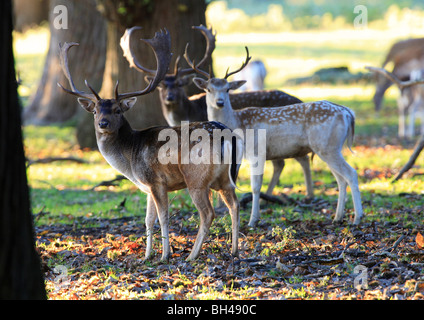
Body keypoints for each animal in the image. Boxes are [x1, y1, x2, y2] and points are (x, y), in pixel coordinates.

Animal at [56, 30, 242, 262]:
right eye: (96, 111)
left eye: (118, 110)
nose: (103, 124)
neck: (130, 159)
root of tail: (226, 134)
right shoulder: (146, 187)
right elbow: (147, 220)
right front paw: (146, 256)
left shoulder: (156, 181)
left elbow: (163, 217)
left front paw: (164, 255)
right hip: (226, 177)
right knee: (235, 204)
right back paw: (234, 250)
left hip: (196, 178)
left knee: (208, 213)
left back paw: (192, 255)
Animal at [121, 25, 314, 200]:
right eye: (162, 87)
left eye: (179, 85)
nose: (170, 97)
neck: (187, 114)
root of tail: (299, 99)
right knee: (282, 162)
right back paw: (271, 194)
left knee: (300, 159)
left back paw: (304, 194)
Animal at [186, 46, 364, 226]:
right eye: (208, 89)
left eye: (228, 88)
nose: (220, 102)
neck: (237, 123)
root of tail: (348, 113)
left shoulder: (256, 152)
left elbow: (255, 186)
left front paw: (253, 220)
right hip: (330, 148)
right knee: (340, 178)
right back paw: (338, 217)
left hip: (327, 146)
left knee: (351, 173)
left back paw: (357, 218)